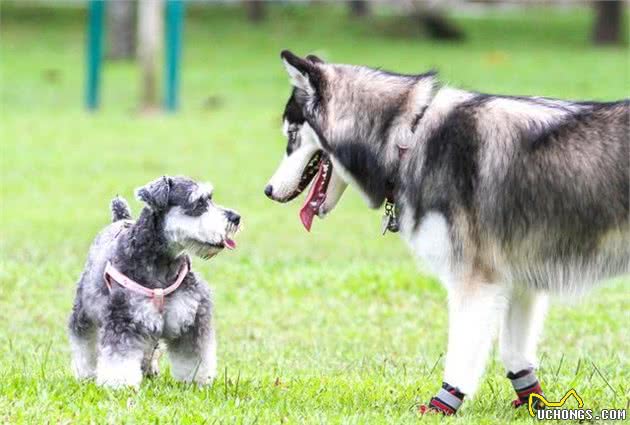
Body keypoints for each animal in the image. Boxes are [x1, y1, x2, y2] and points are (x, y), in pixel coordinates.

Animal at [68, 176, 242, 388]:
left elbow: (194, 355)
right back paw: (86, 373)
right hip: (85, 312)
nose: (236, 217)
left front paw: (197, 381)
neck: (162, 262)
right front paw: (120, 384)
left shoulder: (191, 317)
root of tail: (121, 220)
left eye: (210, 198)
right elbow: (119, 356)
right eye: (199, 203)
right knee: (85, 343)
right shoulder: (124, 317)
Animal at [264, 51, 628, 412]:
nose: (267, 191)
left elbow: (461, 353)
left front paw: (443, 404)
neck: (407, 139)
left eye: (291, 136)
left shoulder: (474, 280)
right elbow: (514, 355)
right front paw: (531, 400)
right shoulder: (520, 279)